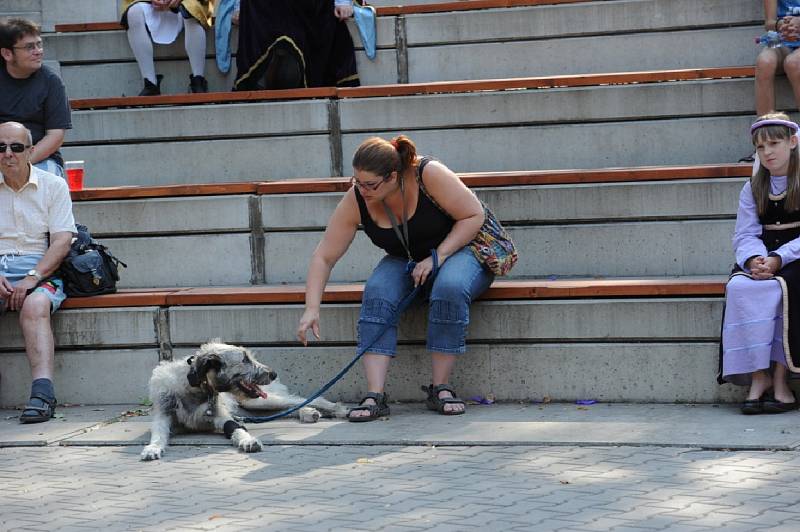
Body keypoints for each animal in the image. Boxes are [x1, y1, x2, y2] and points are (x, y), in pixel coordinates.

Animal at [143, 340, 346, 462]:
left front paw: (248, 441)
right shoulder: (163, 414)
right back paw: (308, 413)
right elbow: (159, 434)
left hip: (259, 401)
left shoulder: (222, 416)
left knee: (303, 400)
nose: (273, 373)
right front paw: (153, 448)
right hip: (249, 407)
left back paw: (336, 410)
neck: (195, 389)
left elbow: (236, 429)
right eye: (245, 359)